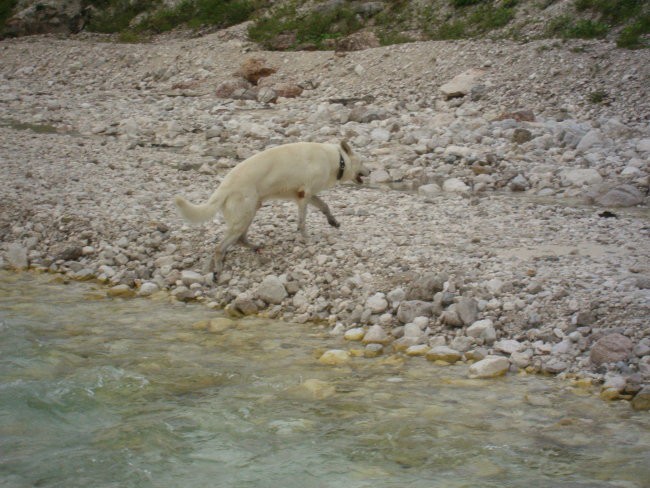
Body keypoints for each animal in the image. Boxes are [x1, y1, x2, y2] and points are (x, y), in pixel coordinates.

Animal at [175, 140, 370, 274]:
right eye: (363, 162)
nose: (371, 171)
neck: (337, 160)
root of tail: (224, 186)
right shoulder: (304, 196)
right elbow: (302, 221)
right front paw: (306, 238)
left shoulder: (307, 195)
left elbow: (325, 206)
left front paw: (333, 222)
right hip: (244, 216)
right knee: (220, 247)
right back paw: (218, 269)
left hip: (250, 212)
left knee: (239, 239)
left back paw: (254, 248)